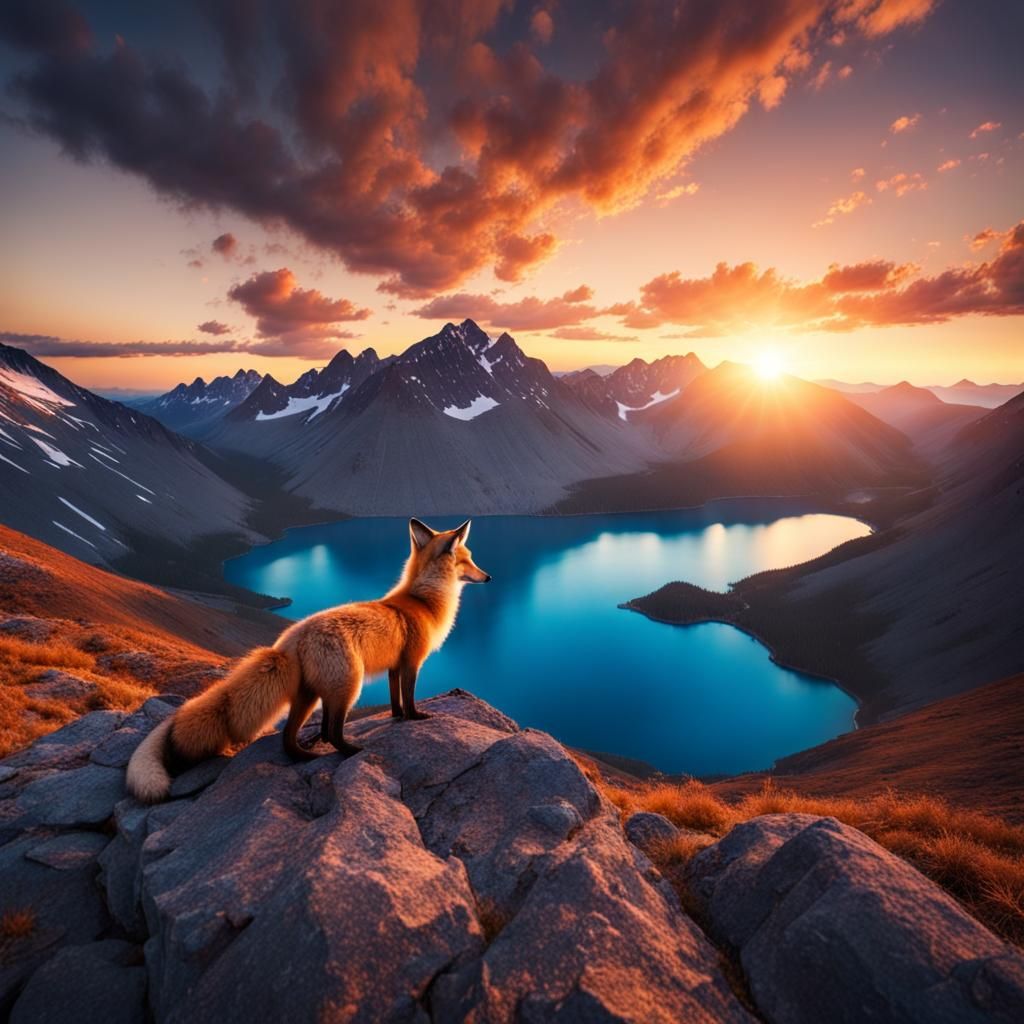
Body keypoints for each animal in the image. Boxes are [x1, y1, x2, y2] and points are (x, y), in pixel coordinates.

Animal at [126, 517, 490, 802]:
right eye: (468, 560)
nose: (488, 578)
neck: (423, 601)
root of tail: (291, 637)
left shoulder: (393, 667)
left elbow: (394, 700)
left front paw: (399, 718)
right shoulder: (412, 662)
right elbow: (410, 697)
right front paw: (416, 718)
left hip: (311, 696)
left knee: (291, 738)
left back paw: (307, 750)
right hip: (347, 687)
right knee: (332, 732)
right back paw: (351, 751)